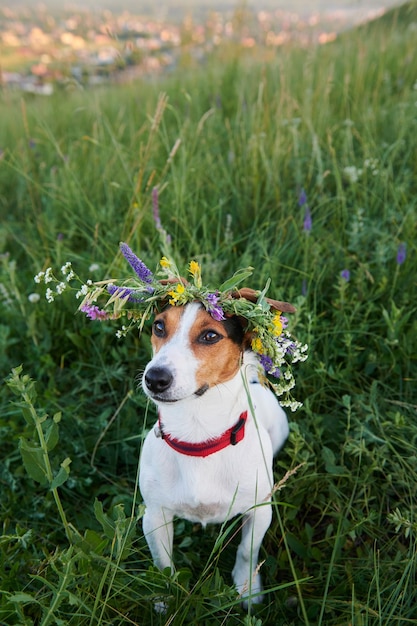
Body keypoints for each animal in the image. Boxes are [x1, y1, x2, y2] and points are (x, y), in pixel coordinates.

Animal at [140, 300, 290, 604]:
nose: (154, 378)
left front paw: (247, 589)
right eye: (159, 326)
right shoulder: (154, 516)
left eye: (210, 335)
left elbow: (247, 551)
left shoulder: (259, 511)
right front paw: (167, 598)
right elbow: (163, 565)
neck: (198, 437)